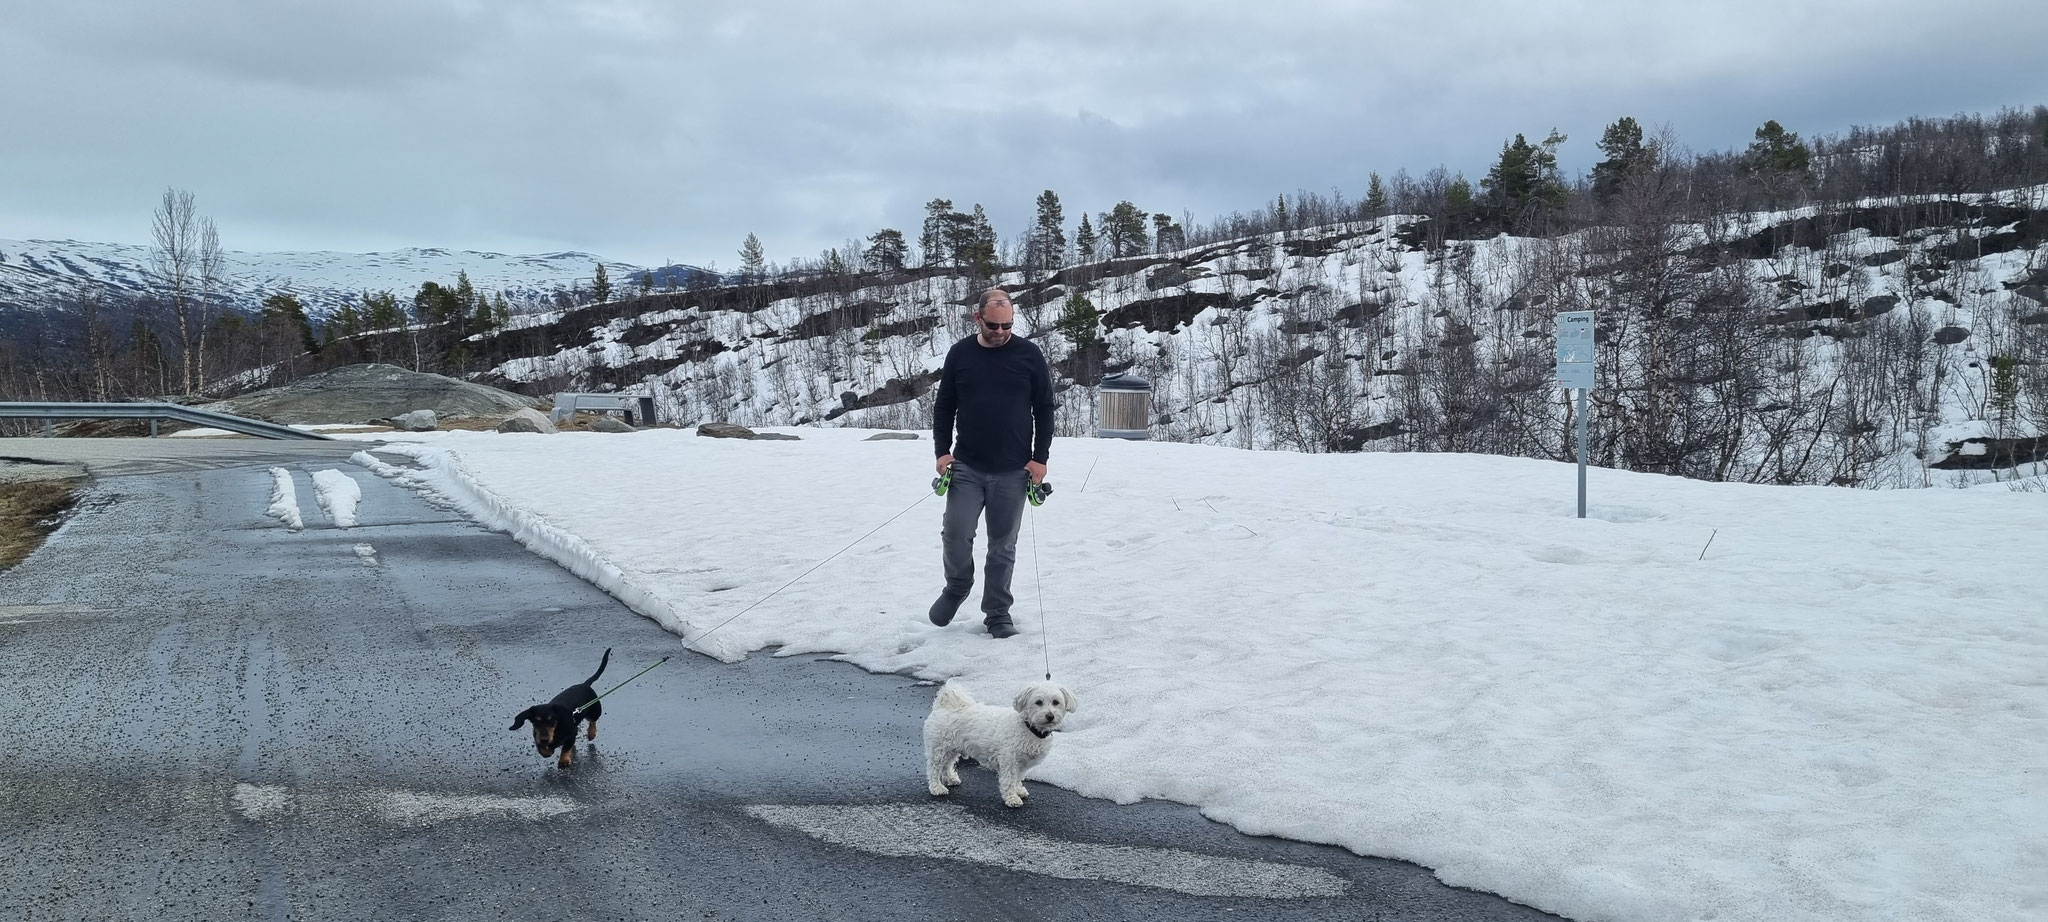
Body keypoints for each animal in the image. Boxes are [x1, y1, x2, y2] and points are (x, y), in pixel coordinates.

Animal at [929, 676, 1081, 807]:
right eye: (1038, 702)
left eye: (1056, 702)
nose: (1050, 716)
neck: (1028, 727)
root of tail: (945, 705)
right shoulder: (1010, 761)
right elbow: (1009, 780)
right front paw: (1012, 798)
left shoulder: (1022, 764)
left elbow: (1017, 778)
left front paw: (1018, 790)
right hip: (939, 748)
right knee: (934, 768)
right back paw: (937, 787)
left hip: (951, 748)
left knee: (947, 765)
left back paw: (950, 779)